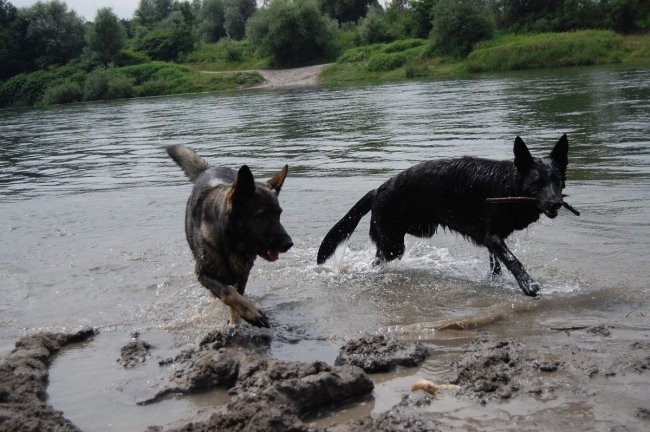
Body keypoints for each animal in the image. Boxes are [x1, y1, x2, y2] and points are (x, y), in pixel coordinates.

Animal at [166, 147, 292, 330]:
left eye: (279, 214)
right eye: (262, 216)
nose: (289, 243)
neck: (230, 243)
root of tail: (210, 169)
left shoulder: (243, 272)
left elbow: (237, 293)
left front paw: (235, 320)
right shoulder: (203, 272)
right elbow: (227, 292)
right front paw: (253, 314)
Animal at [316, 135, 568, 296]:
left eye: (557, 180)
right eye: (537, 182)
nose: (556, 202)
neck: (509, 185)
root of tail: (377, 190)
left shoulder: (493, 239)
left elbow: (496, 264)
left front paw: (496, 281)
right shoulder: (493, 236)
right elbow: (513, 260)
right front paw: (529, 285)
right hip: (392, 244)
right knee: (377, 261)